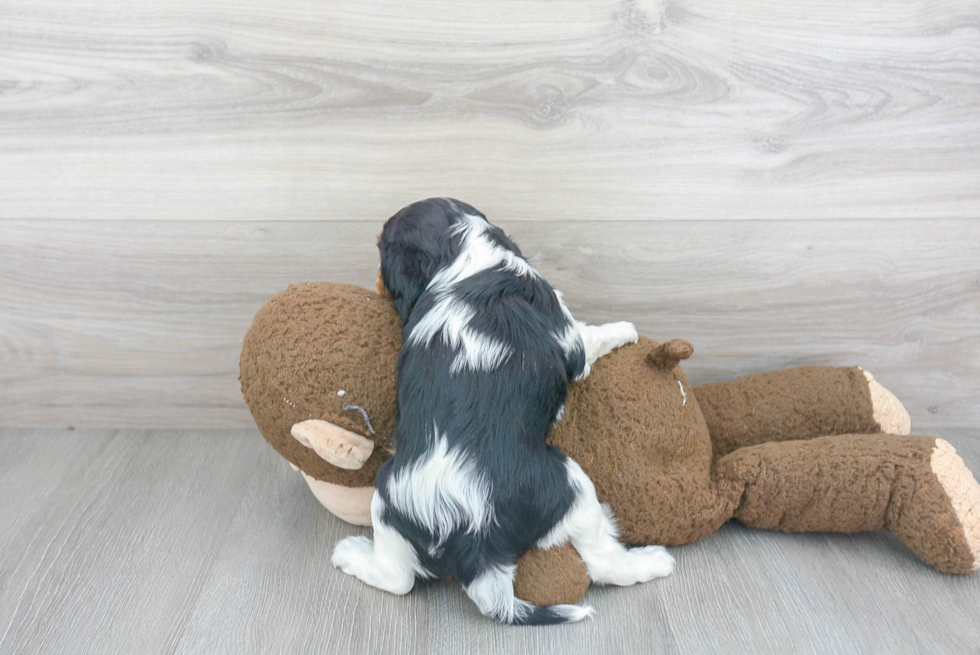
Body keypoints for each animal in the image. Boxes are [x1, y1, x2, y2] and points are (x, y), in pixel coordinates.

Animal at [332, 199, 672, 624]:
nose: (375, 281)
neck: (465, 251)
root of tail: (469, 536)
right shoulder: (569, 336)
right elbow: (591, 338)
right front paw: (626, 329)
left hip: (389, 497)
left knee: (398, 578)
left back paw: (349, 555)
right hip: (569, 486)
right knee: (603, 561)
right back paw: (654, 561)